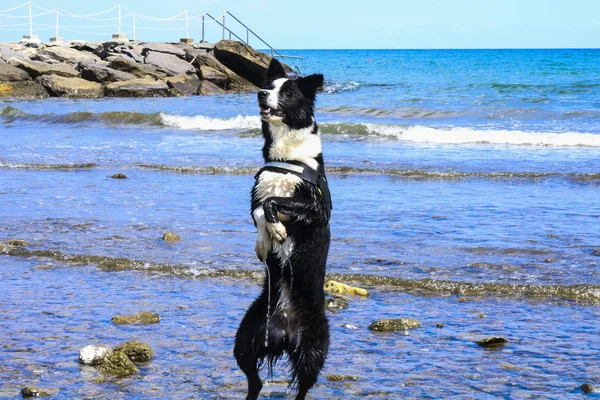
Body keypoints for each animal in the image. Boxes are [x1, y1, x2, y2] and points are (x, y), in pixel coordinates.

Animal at [233, 57, 332, 400]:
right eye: (269, 86)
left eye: (287, 92)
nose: (261, 94)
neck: (287, 158)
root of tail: (286, 331)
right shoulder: (256, 195)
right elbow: (262, 207)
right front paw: (266, 240)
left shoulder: (316, 210)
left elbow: (276, 201)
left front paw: (276, 232)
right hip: (246, 337)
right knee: (256, 381)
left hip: (314, 347)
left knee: (303, 387)